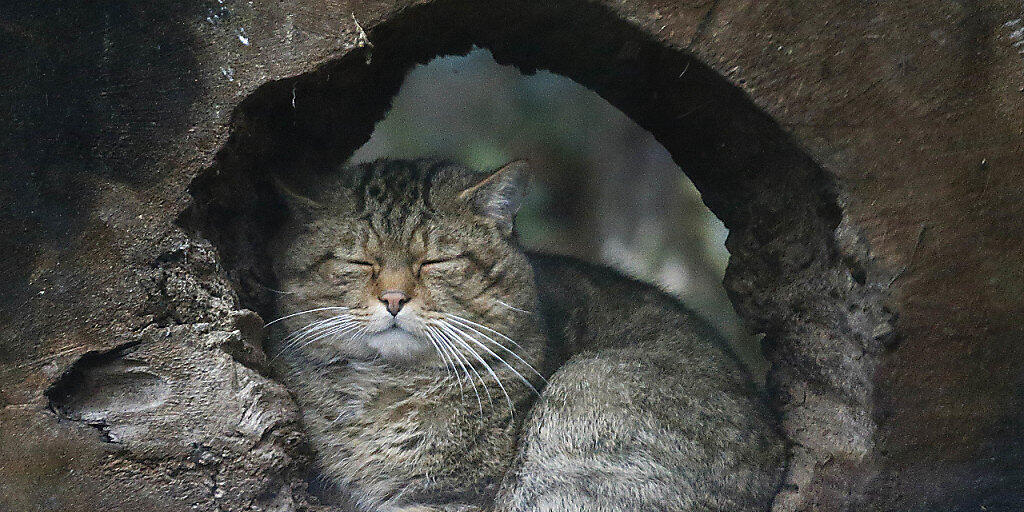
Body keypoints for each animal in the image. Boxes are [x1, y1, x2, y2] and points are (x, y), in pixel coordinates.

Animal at [266, 157, 782, 509]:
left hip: (587, 393)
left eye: (436, 261)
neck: (386, 388)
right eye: (357, 262)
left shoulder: (456, 492)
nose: (393, 299)